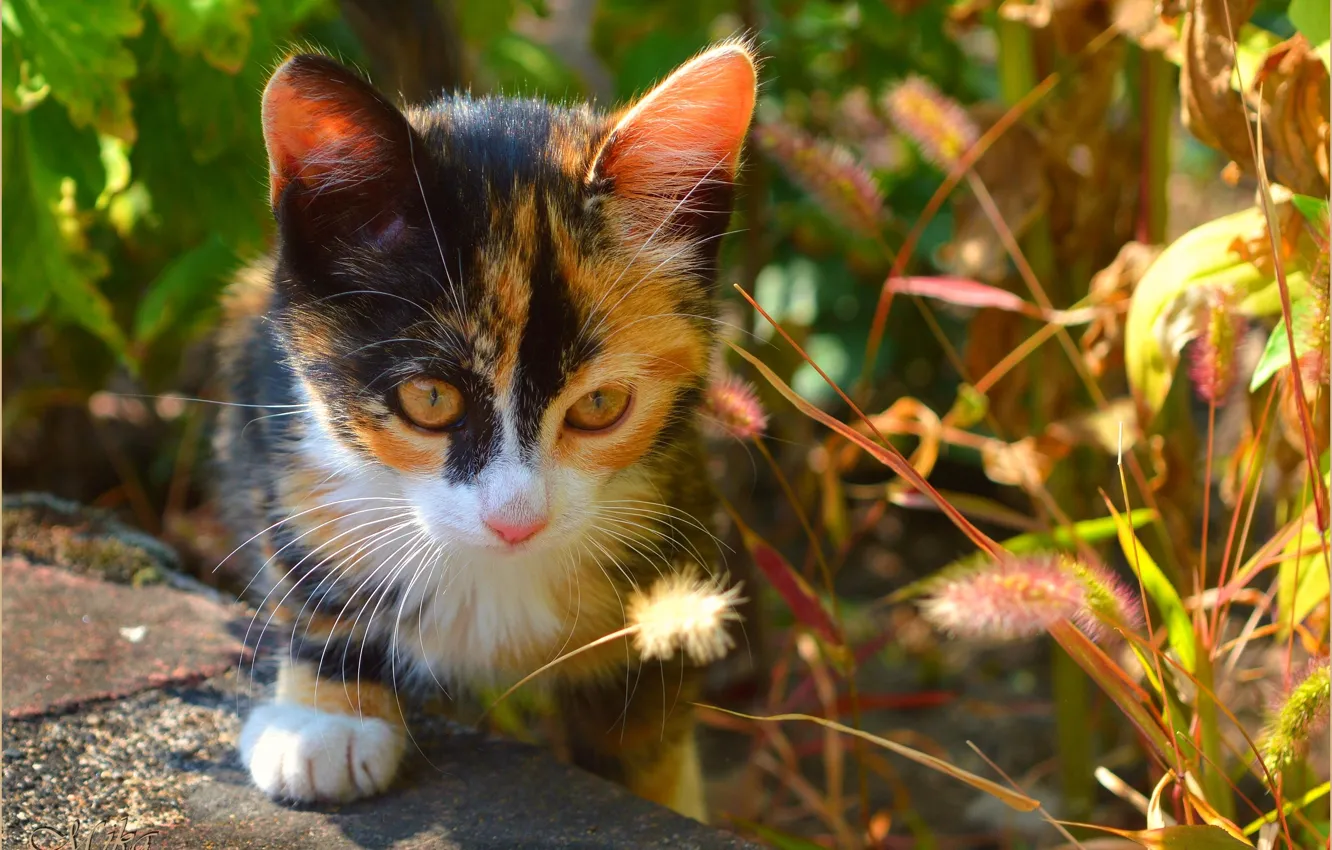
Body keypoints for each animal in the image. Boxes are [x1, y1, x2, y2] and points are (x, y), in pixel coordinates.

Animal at [218, 39, 761, 820]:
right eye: (430, 398)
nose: (515, 521)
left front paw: (661, 792)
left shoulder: (677, 491)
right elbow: (305, 556)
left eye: (601, 406)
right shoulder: (278, 416)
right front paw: (326, 712)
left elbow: (644, 717)